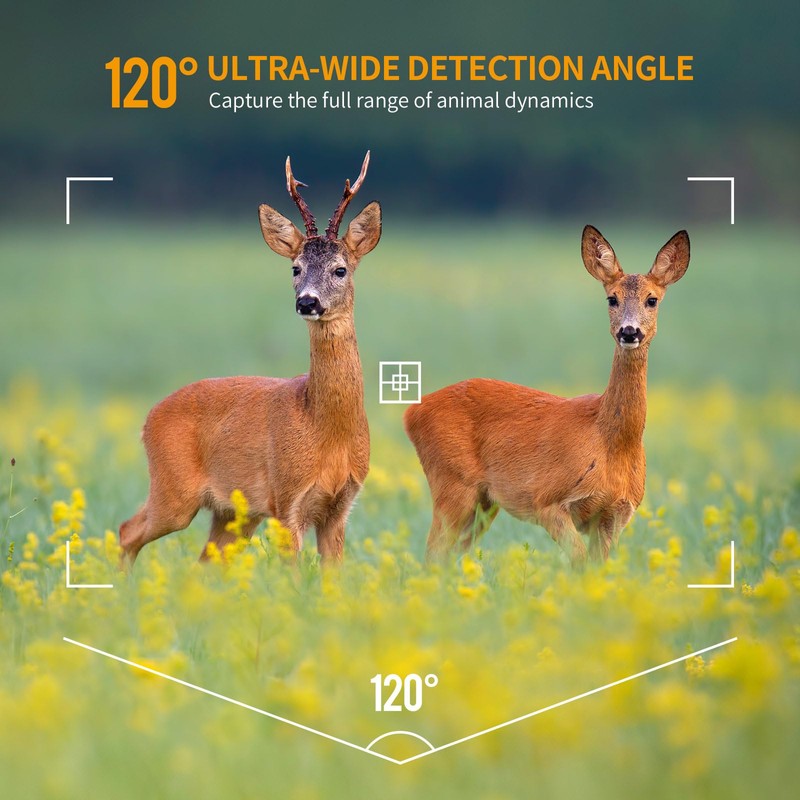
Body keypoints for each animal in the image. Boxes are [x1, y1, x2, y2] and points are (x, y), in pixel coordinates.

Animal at [119, 153, 382, 566]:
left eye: (340, 269)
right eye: (295, 268)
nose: (307, 302)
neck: (325, 429)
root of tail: (147, 419)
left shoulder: (341, 506)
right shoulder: (286, 499)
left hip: (232, 513)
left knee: (203, 559)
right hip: (174, 490)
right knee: (127, 531)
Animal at [404, 226, 690, 567]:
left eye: (652, 300)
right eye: (612, 298)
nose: (629, 331)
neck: (610, 442)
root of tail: (411, 412)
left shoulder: (615, 514)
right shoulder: (547, 500)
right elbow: (579, 563)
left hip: (483, 502)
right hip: (451, 482)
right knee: (432, 555)